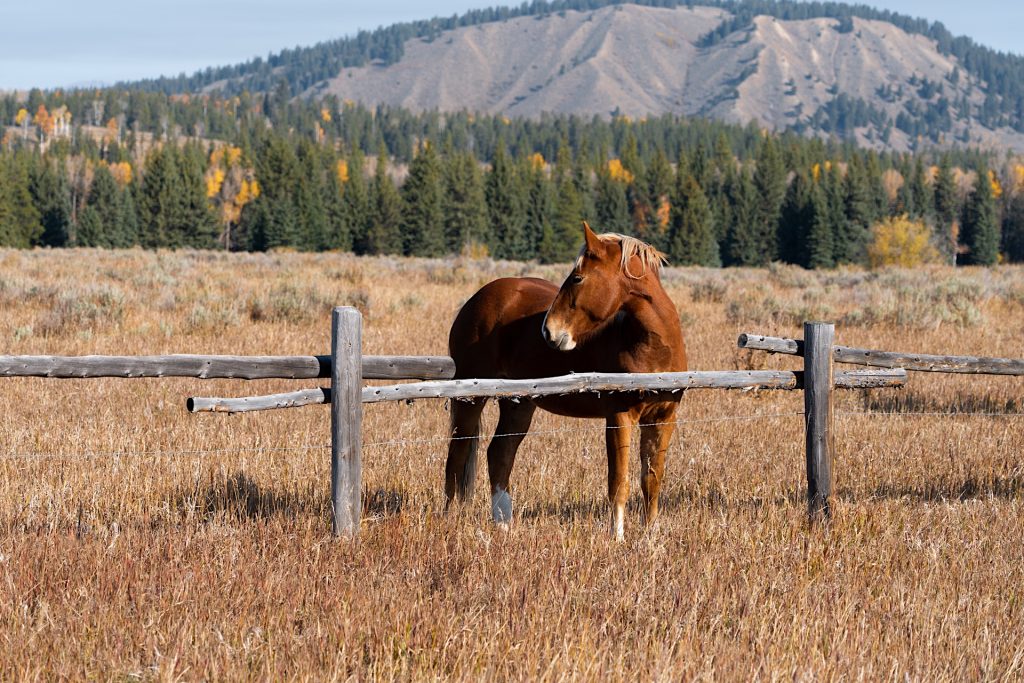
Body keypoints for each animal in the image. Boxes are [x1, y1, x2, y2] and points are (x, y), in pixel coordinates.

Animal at [444, 222, 687, 540]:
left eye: (577, 277)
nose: (548, 331)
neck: (654, 347)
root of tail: (476, 300)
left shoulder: (663, 419)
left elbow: (651, 480)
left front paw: (650, 536)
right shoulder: (619, 417)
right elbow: (618, 481)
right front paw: (617, 538)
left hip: (518, 403)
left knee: (499, 453)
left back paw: (504, 524)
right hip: (470, 398)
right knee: (457, 456)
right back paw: (448, 520)